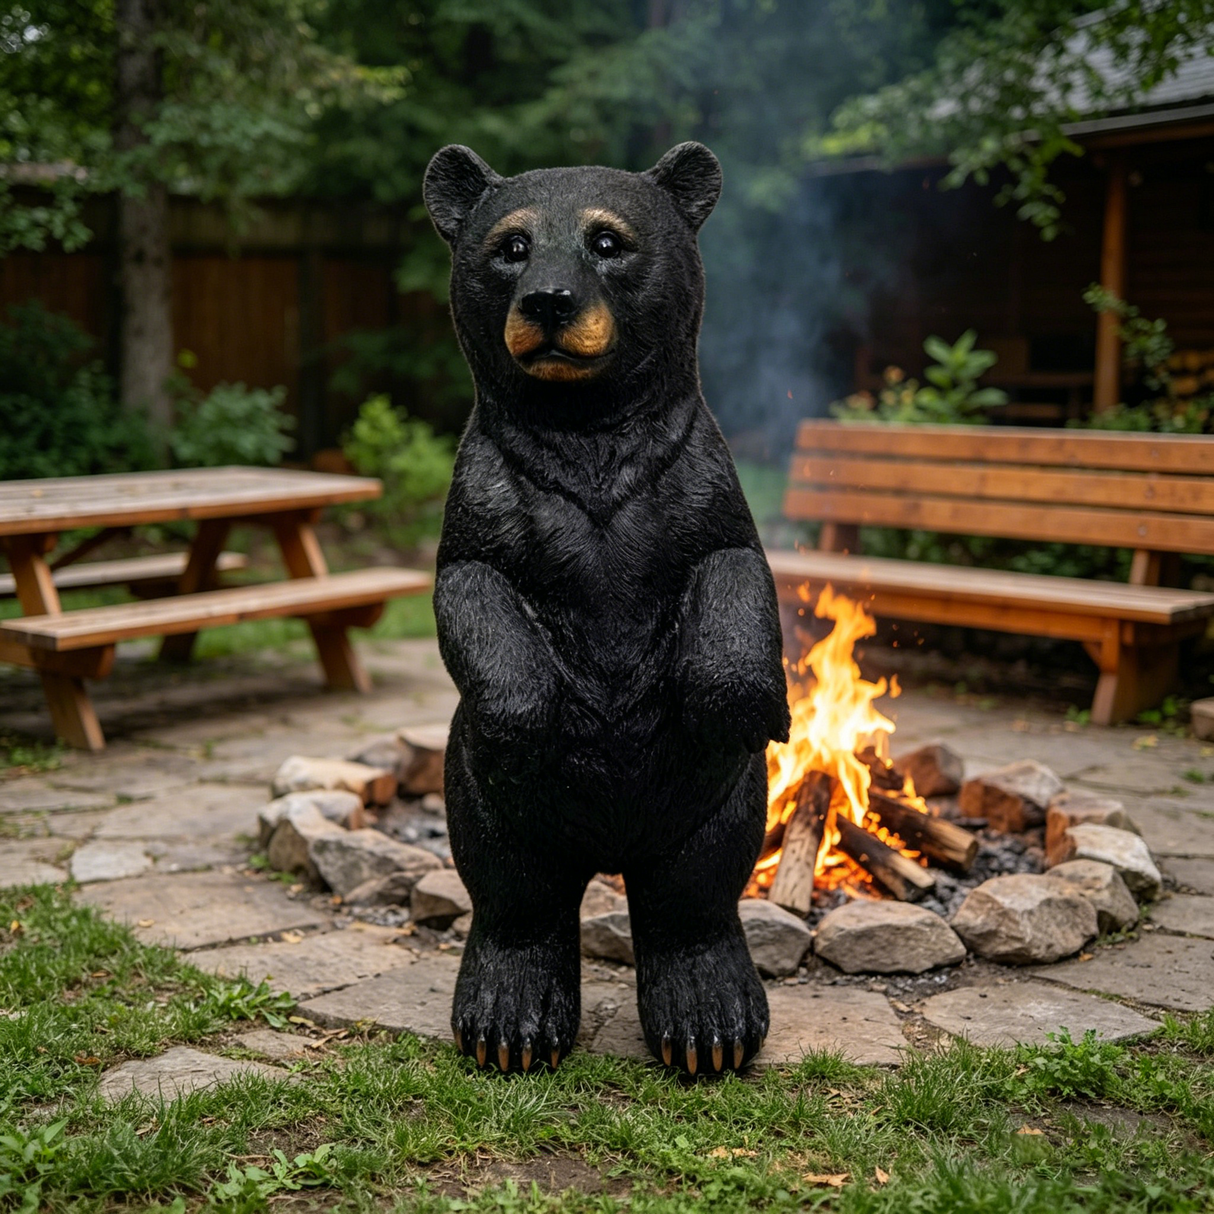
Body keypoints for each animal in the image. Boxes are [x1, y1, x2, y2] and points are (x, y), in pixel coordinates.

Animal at [423, 141, 791, 1075]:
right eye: (511, 245)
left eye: (607, 239)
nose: (549, 300)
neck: (587, 426)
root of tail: (608, 853)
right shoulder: (493, 497)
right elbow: (472, 594)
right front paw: (523, 719)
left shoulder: (692, 486)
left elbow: (735, 572)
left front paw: (747, 703)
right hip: (486, 802)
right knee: (512, 888)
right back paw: (508, 1020)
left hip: (716, 802)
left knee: (697, 890)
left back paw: (708, 1021)